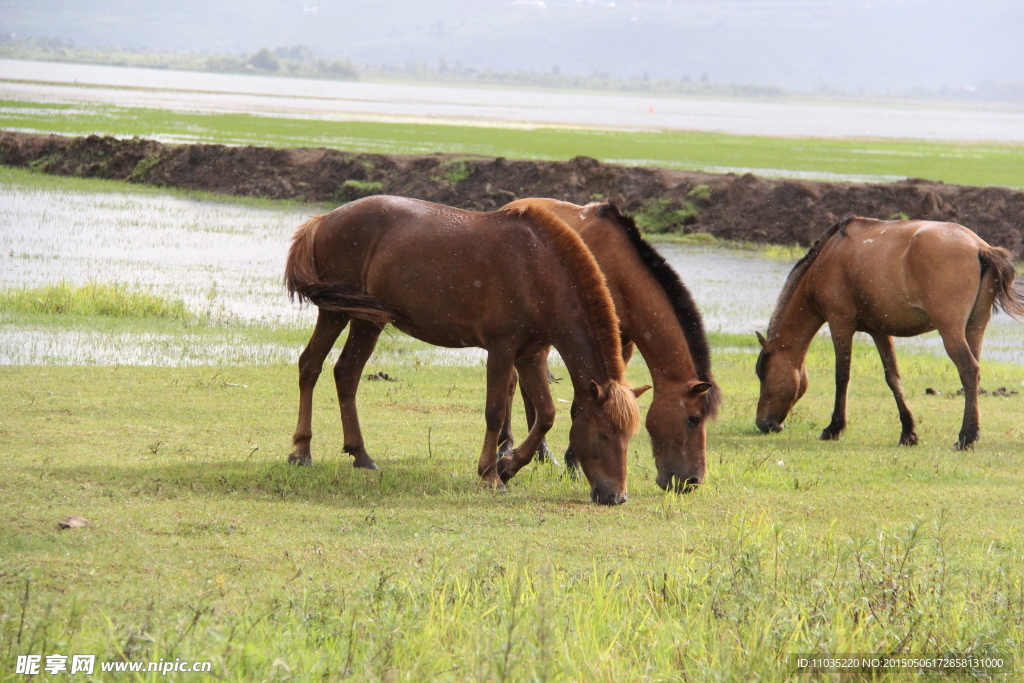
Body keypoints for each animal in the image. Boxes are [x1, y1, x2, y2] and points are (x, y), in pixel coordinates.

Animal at [284, 194, 638, 505]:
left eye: (629, 437)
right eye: (603, 434)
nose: (617, 497)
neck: (537, 269)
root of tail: (324, 220)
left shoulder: (530, 356)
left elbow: (546, 414)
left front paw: (508, 466)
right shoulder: (501, 350)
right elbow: (495, 413)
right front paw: (490, 475)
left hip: (366, 321)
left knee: (346, 373)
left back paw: (360, 454)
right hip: (335, 313)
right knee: (310, 366)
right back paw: (301, 452)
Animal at [499, 197, 724, 491]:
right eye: (693, 419)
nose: (692, 481)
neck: (619, 272)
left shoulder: (622, 345)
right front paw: (574, 466)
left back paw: (543, 454)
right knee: (512, 385)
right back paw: (507, 447)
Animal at [753, 215, 1024, 448]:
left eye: (762, 374)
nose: (763, 424)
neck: (828, 258)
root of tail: (979, 247)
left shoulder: (840, 323)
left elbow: (842, 375)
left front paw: (834, 428)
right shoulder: (879, 331)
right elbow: (893, 377)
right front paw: (908, 432)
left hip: (950, 330)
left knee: (968, 369)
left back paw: (967, 436)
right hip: (975, 326)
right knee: (974, 375)